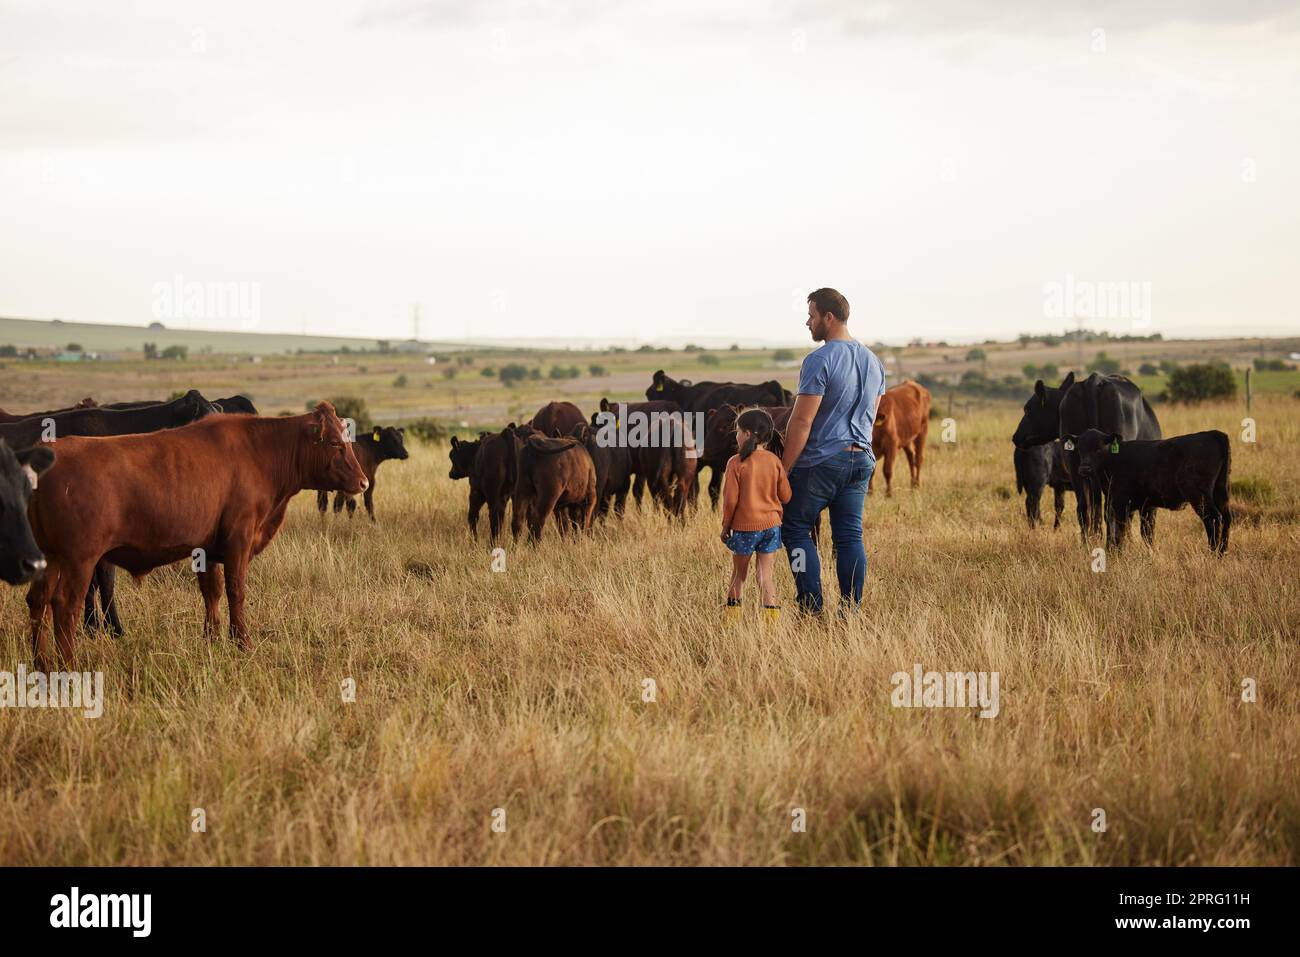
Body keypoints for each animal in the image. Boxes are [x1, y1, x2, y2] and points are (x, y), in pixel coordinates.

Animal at [26, 400, 371, 670]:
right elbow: (235, 590)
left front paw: (212, 638)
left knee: (38, 600)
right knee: (65, 606)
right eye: (335, 443)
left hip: (50, 558)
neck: (261, 452)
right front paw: (242, 642)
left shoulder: (207, 548)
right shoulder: (239, 539)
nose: (364, 482)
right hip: (79, 560)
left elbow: (212, 592)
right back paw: (68, 666)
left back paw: (42, 664)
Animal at [1055, 431, 1227, 556]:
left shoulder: (1121, 502)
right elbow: (1144, 532)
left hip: (1199, 496)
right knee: (1226, 517)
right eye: (1080, 449)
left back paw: (1213, 553)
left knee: (1212, 518)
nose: (1084, 469)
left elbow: (1121, 529)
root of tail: (1212, 434)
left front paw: (1118, 555)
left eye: (1098, 449)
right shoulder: (1143, 505)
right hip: (1220, 493)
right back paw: (1222, 551)